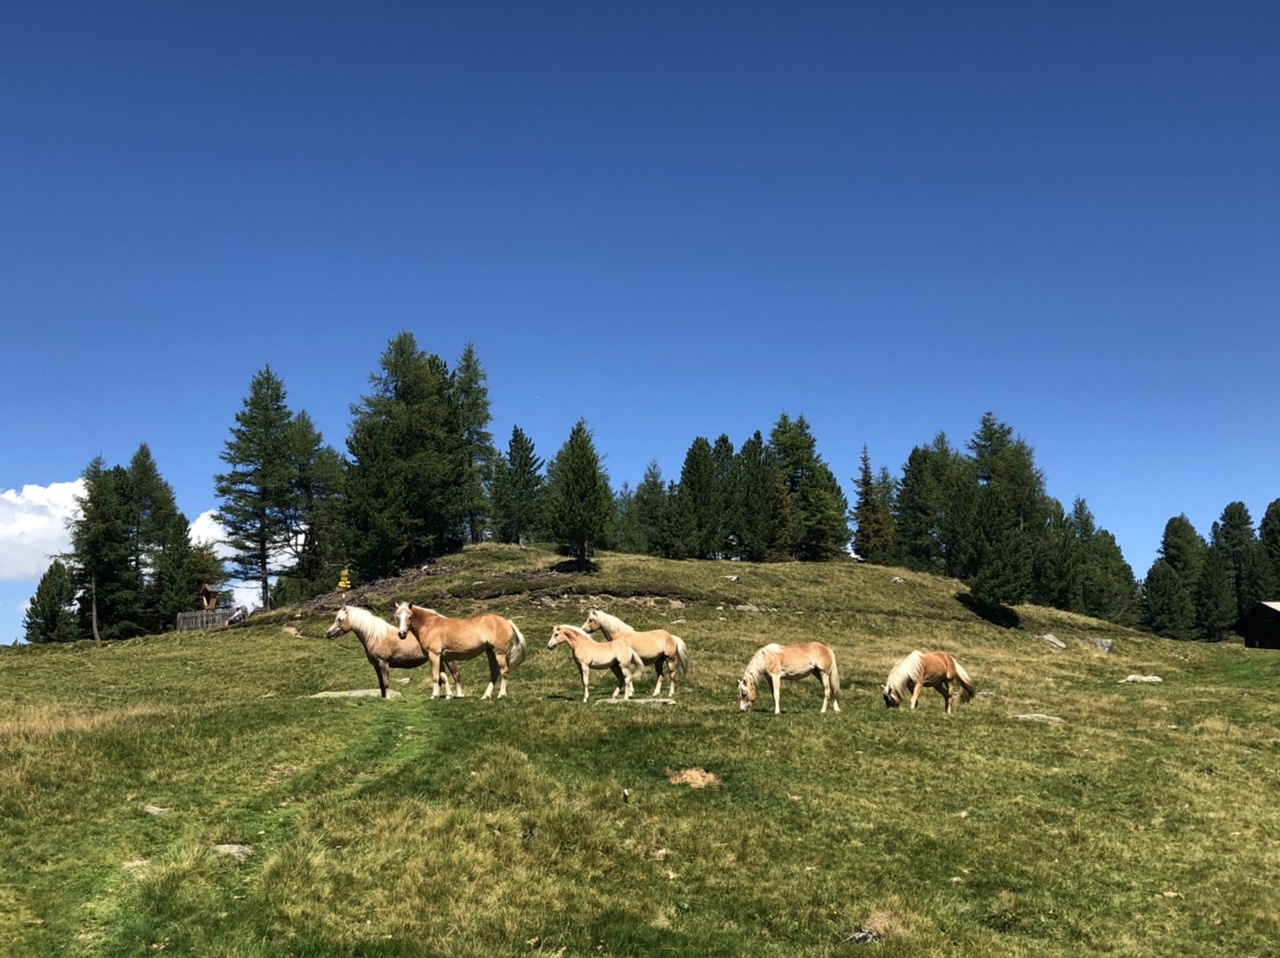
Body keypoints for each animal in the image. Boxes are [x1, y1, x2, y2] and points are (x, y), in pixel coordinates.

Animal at [322, 609, 463, 701]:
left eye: (340, 619)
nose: (329, 633)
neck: (375, 636)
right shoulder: (376, 665)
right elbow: (380, 683)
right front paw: (383, 698)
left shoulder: (383, 663)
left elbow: (386, 682)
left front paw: (389, 698)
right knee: (443, 677)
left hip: (447, 659)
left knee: (454, 675)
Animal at [394, 601, 524, 701]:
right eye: (397, 616)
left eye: (410, 616)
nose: (402, 634)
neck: (429, 625)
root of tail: (507, 621)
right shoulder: (441, 657)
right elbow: (443, 676)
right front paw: (449, 696)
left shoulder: (434, 654)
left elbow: (435, 676)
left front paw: (434, 695)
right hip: (490, 652)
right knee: (495, 673)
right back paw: (485, 696)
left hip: (499, 653)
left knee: (504, 671)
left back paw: (501, 695)